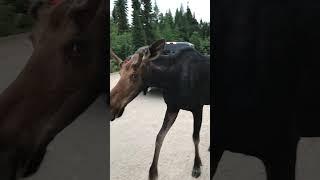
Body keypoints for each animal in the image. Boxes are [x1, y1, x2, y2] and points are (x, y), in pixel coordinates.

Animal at [109, 39, 210, 180]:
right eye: (119, 73)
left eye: (134, 75)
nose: (111, 108)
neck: (169, 80)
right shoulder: (172, 108)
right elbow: (159, 137)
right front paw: (153, 172)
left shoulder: (197, 108)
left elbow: (195, 137)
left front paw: (197, 166)